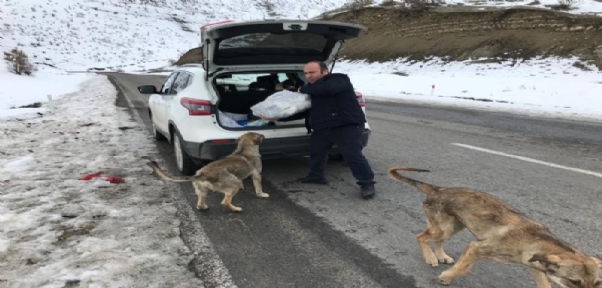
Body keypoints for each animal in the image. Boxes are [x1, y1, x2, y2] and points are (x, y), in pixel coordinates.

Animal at [386, 166, 596, 288]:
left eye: (597, 283)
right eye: (574, 282)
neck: (533, 240)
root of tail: (439, 189)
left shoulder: (536, 267)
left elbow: (545, 284)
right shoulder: (475, 248)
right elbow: (462, 269)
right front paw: (446, 277)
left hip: (454, 226)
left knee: (437, 240)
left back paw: (441, 255)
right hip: (444, 227)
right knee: (420, 237)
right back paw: (430, 257)